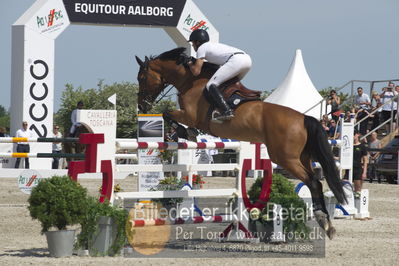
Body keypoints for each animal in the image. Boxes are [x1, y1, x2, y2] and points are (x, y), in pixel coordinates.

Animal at [134, 47, 346, 239]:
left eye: (141, 78)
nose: (142, 106)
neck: (190, 81)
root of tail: (304, 118)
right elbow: (168, 114)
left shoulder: (189, 115)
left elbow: (167, 113)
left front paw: (185, 132)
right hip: (302, 157)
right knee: (315, 181)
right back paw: (327, 223)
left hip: (286, 158)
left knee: (313, 181)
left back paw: (323, 220)